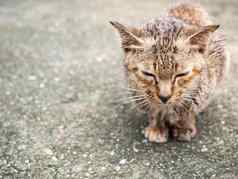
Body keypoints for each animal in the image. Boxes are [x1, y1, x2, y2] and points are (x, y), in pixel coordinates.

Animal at [109, 1, 229, 143]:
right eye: (148, 74)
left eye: (181, 74)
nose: (164, 97)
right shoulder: (139, 93)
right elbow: (154, 110)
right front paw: (157, 127)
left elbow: (187, 109)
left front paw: (184, 126)